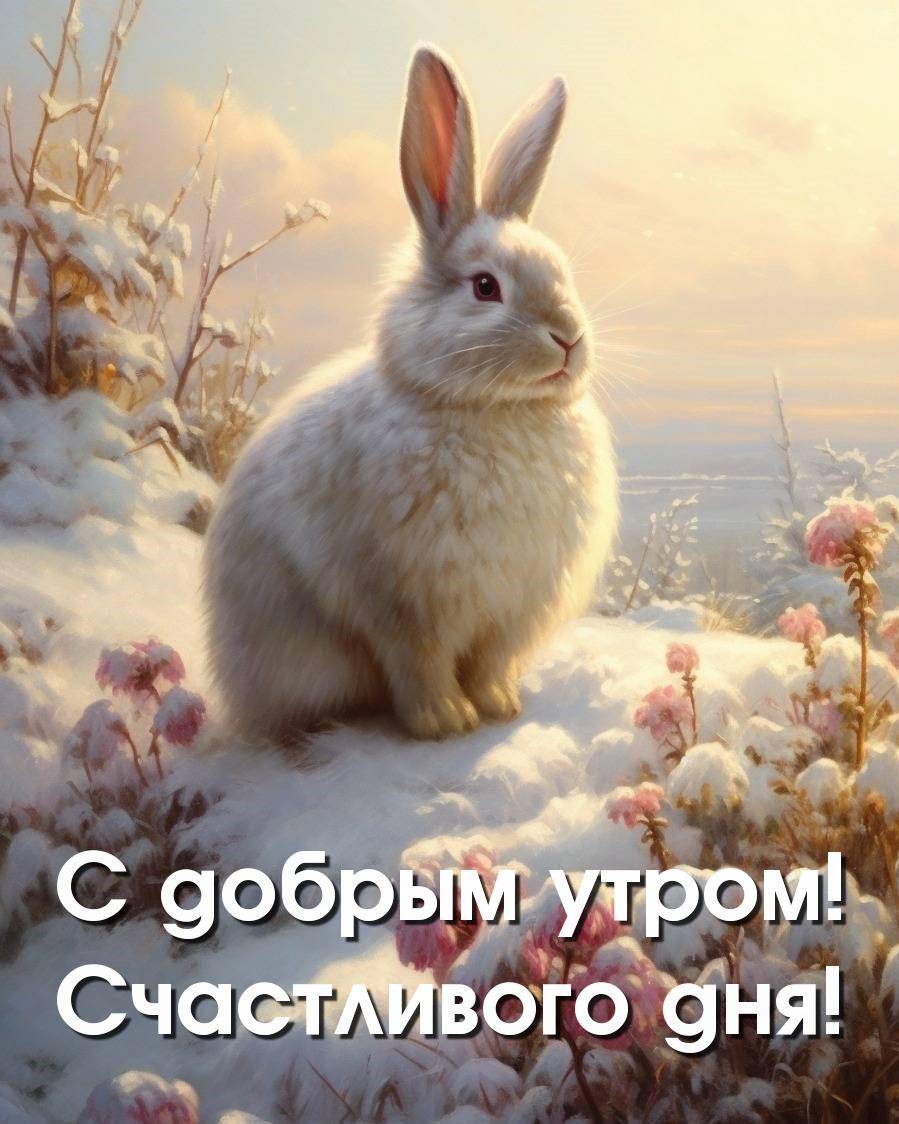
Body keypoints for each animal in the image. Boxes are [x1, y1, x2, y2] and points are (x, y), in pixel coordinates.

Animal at [204, 44, 619, 743]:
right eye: (485, 287)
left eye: (562, 273)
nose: (569, 339)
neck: (491, 409)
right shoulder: (404, 602)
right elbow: (419, 663)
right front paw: (444, 723)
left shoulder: (510, 609)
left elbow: (491, 662)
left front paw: (501, 706)